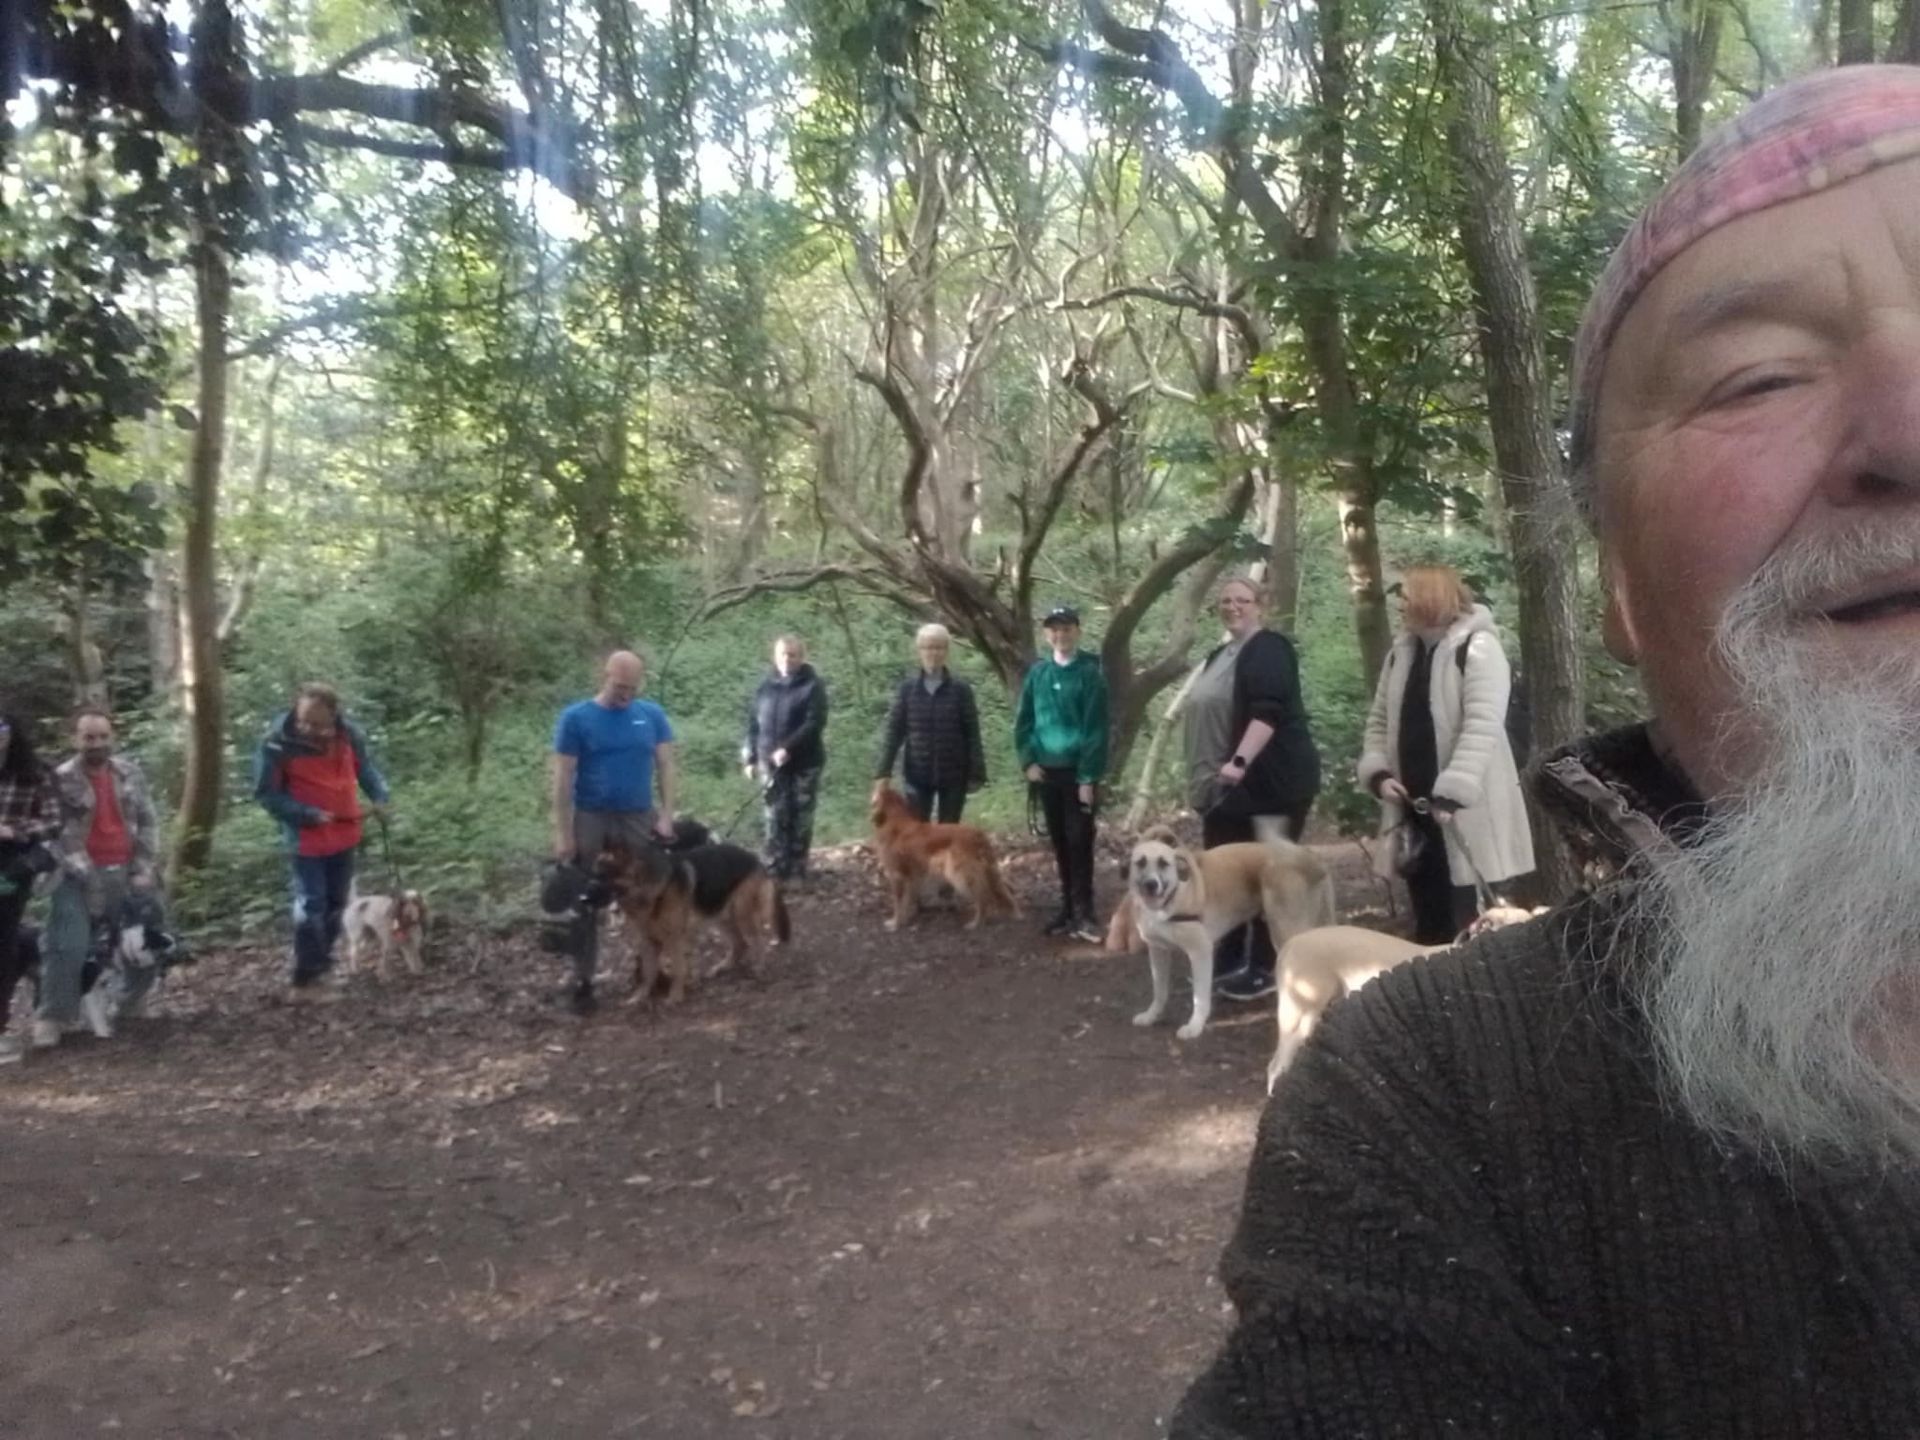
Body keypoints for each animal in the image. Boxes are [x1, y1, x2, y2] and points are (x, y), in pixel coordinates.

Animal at [595, 840, 790, 1005]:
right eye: (594, 875)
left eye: (601, 877)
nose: (586, 898)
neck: (652, 887)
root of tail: (755, 858)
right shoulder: (648, 941)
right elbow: (648, 972)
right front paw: (640, 996)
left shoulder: (675, 938)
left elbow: (678, 969)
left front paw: (675, 996)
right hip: (721, 917)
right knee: (740, 943)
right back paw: (723, 967)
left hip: (742, 915)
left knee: (759, 940)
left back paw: (759, 967)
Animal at [868, 783, 1020, 931]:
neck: (895, 821)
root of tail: (978, 834)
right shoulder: (912, 877)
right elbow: (907, 900)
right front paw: (906, 918)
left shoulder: (897, 876)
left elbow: (898, 903)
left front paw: (895, 923)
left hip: (961, 876)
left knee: (984, 898)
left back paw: (976, 923)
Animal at [1123, 824, 1335, 1041]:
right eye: (1140, 863)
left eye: (1164, 863)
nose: (1151, 884)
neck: (1174, 897)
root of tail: (1310, 857)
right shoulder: (1158, 951)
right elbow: (1159, 990)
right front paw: (1151, 1015)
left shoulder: (1200, 952)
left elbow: (1199, 998)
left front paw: (1195, 1026)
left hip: (1285, 930)